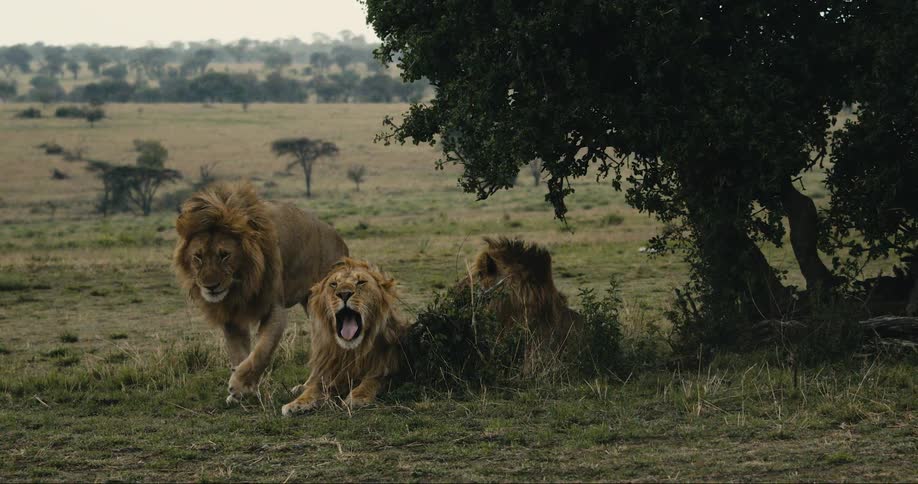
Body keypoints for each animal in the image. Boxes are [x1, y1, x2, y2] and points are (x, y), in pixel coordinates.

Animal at [174, 182, 348, 403]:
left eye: (224, 255)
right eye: (198, 256)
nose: (210, 286)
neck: (241, 283)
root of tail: (340, 240)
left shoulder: (275, 308)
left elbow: (261, 352)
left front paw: (238, 384)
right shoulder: (230, 315)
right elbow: (239, 354)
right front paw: (244, 391)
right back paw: (307, 386)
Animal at [282, 258, 409, 415]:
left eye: (361, 282)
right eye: (334, 284)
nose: (344, 294)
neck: (350, 352)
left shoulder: (387, 370)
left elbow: (370, 382)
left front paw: (358, 398)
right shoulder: (329, 372)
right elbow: (312, 389)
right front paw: (296, 403)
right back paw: (299, 388)